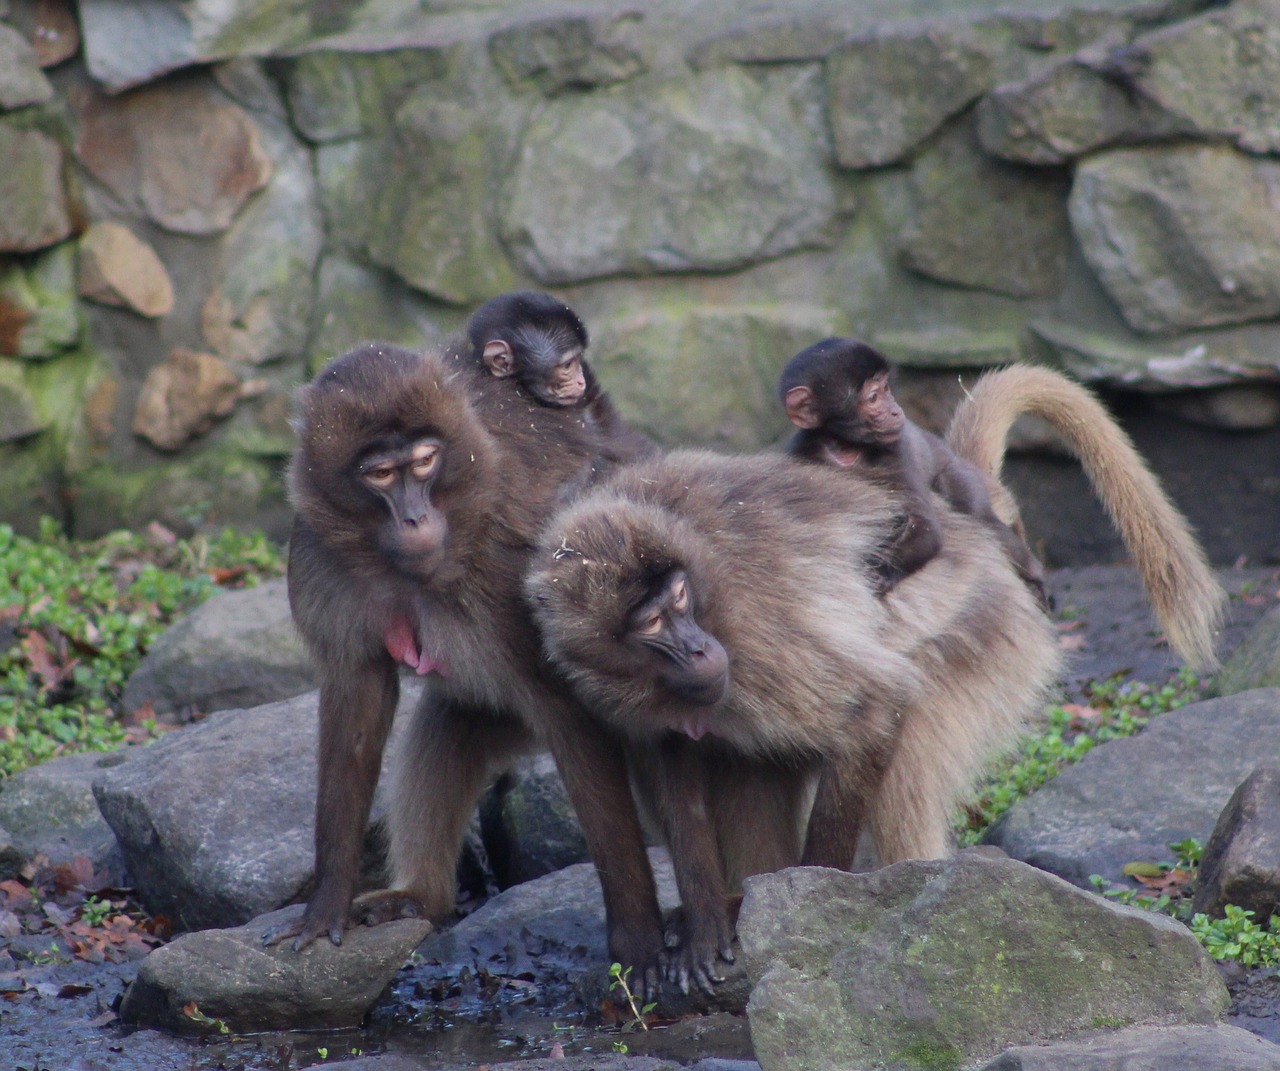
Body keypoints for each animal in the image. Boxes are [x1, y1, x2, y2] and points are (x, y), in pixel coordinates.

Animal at [773, 335, 1044, 601]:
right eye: (873, 398)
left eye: (886, 389)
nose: (896, 410)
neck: (846, 448)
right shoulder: (800, 451)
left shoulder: (896, 451)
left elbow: (926, 528)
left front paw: (879, 573)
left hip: (960, 474)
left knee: (977, 514)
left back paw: (1036, 575)